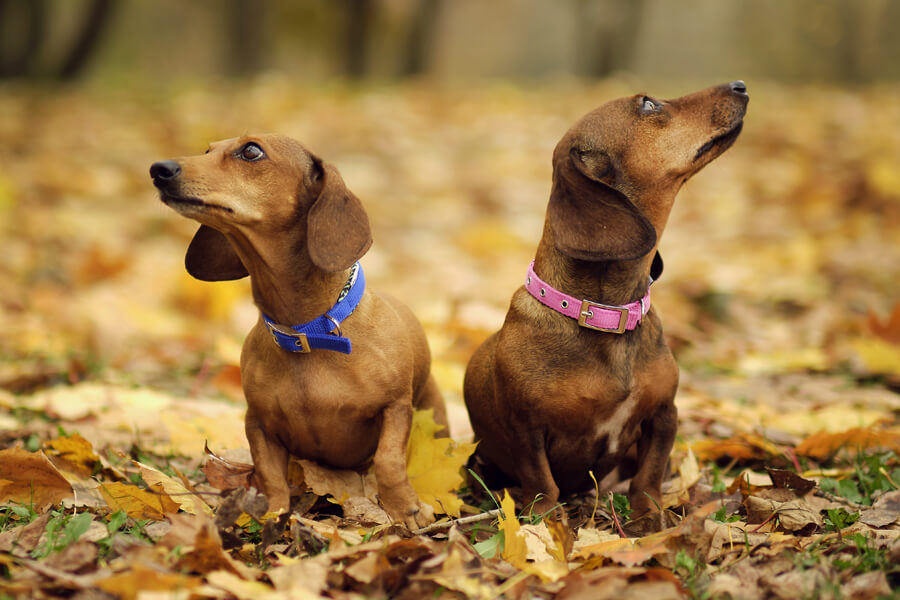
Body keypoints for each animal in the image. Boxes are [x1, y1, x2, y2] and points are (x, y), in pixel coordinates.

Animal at [156, 134, 454, 528]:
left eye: (251, 151)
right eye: (207, 150)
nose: (159, 169)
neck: (307, 333)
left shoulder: (395, 408)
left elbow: (388, 461)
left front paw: (406, 510)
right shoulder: (258, 423)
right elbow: (270, 476)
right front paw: (274, 515)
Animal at [460, 82, 748, 516]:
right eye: (648, 104)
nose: (741, 86)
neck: (606, 314)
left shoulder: (664, 415)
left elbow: (648, 478)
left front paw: (650, 518)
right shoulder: (526, 429)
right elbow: (542, 483)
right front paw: (545, 522)